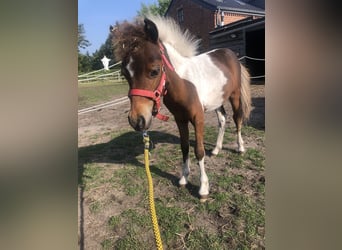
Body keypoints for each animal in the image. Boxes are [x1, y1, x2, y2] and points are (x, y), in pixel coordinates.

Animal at [112, 16, 251, 201]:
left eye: (154, 71)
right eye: (125, 73)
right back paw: (216, 149)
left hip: (234, 96)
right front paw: (183, 178)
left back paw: (240, 148)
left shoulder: (198, 117)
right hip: (217, 101)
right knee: (222, 120)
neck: (183, 84)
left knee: (237, 119)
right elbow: (184, 147)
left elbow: (198, 151)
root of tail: (230, 53)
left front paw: (203, 188)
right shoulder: (180, 119)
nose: (136, 120)